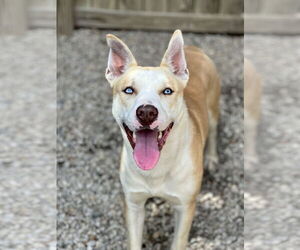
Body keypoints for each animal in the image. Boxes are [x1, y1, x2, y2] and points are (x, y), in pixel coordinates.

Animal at [105, 30, 220, 249]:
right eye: (129, 90)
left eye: (167, 91)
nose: (146, 112)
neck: (157, 169)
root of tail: (193, 48)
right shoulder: (133, 204)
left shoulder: (185, 207)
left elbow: (178, 242)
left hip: (213, 110)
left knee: (213, 132)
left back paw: (211, 158)